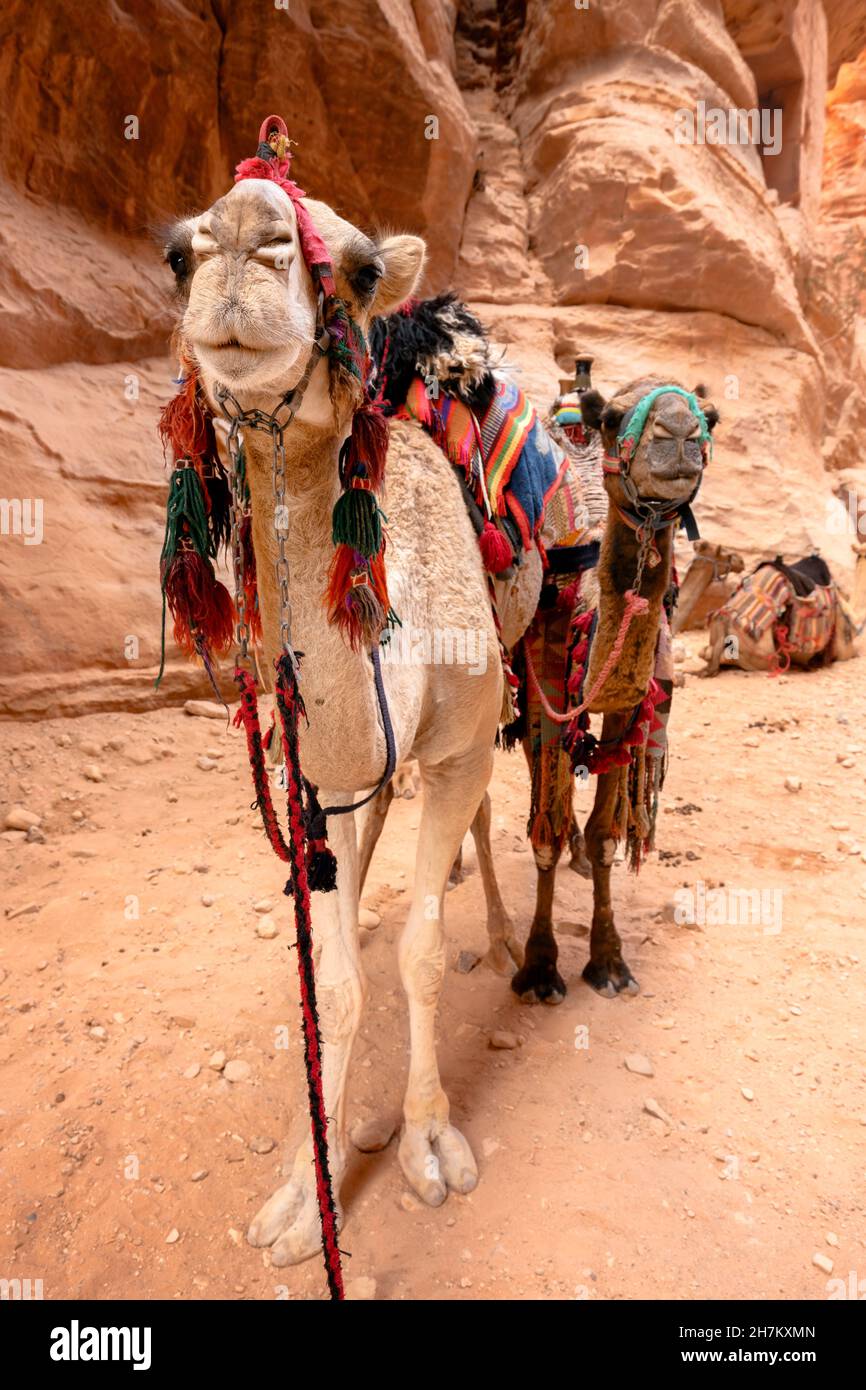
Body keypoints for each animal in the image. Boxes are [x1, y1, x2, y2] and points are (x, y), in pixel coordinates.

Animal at [162, 127, 717, 1262]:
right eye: (179, 255)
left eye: (363, 267)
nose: (244, 241)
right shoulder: (325, 765)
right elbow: (332, 979)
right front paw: (309, 1186)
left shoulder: (458, 735)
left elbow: (421, 949)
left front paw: (426, 1144)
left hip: (508, 671)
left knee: (494, 815)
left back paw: (508, 939)